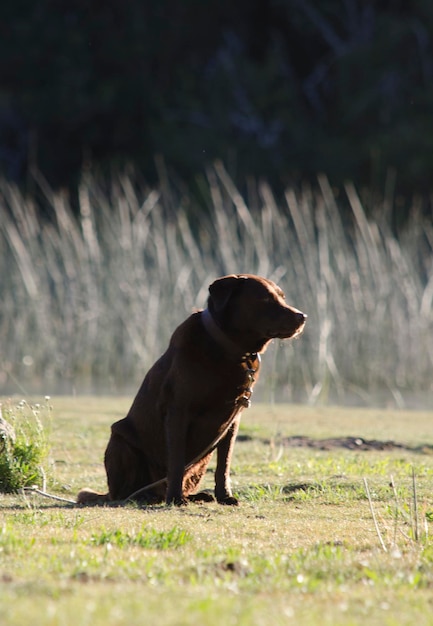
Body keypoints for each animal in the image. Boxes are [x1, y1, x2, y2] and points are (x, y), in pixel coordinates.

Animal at [77, 276, 306, 504]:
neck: (229, 350)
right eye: (265, 299)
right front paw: (176, 499)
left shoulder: (233, 421)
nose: (302, 316)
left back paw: (197, 495)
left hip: (201, 460)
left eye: (282, 297)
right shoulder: (178, 411)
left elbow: (224, 464)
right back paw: (145, 496)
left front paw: (224, 496)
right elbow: (177, 462)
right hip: (120, 440)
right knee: (125, 491)